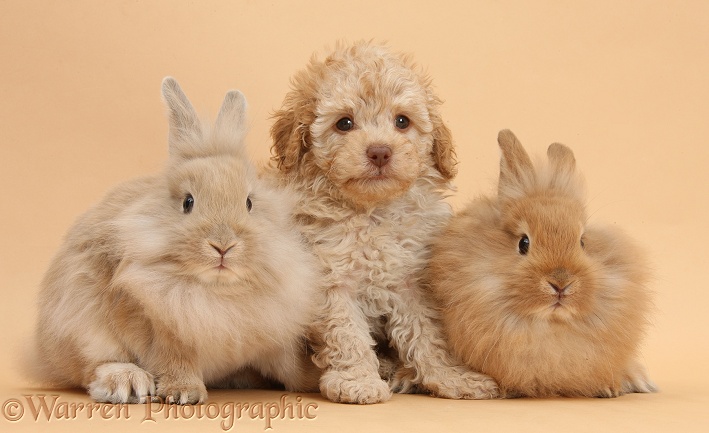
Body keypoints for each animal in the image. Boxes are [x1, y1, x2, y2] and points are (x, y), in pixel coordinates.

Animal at [27, 76, 320, 404]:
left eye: (249, 203)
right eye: (187, 202)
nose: (223, 245)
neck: (218, 291)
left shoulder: (274, 338)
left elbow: (291, 367)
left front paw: (317, 380)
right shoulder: (158, 327)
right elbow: (173, 359)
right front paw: (183, 393)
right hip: (77, 322)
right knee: (92, 365)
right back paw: (127, 382)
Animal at [270, 42, 498, 404]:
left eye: (402, 121)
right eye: (344, 123)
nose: (380, 152)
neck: (372, 213)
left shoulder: (414, 280)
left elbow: (429, 333)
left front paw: (451, 377)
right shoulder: (331, 281)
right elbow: (347, 333)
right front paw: (357, 380)